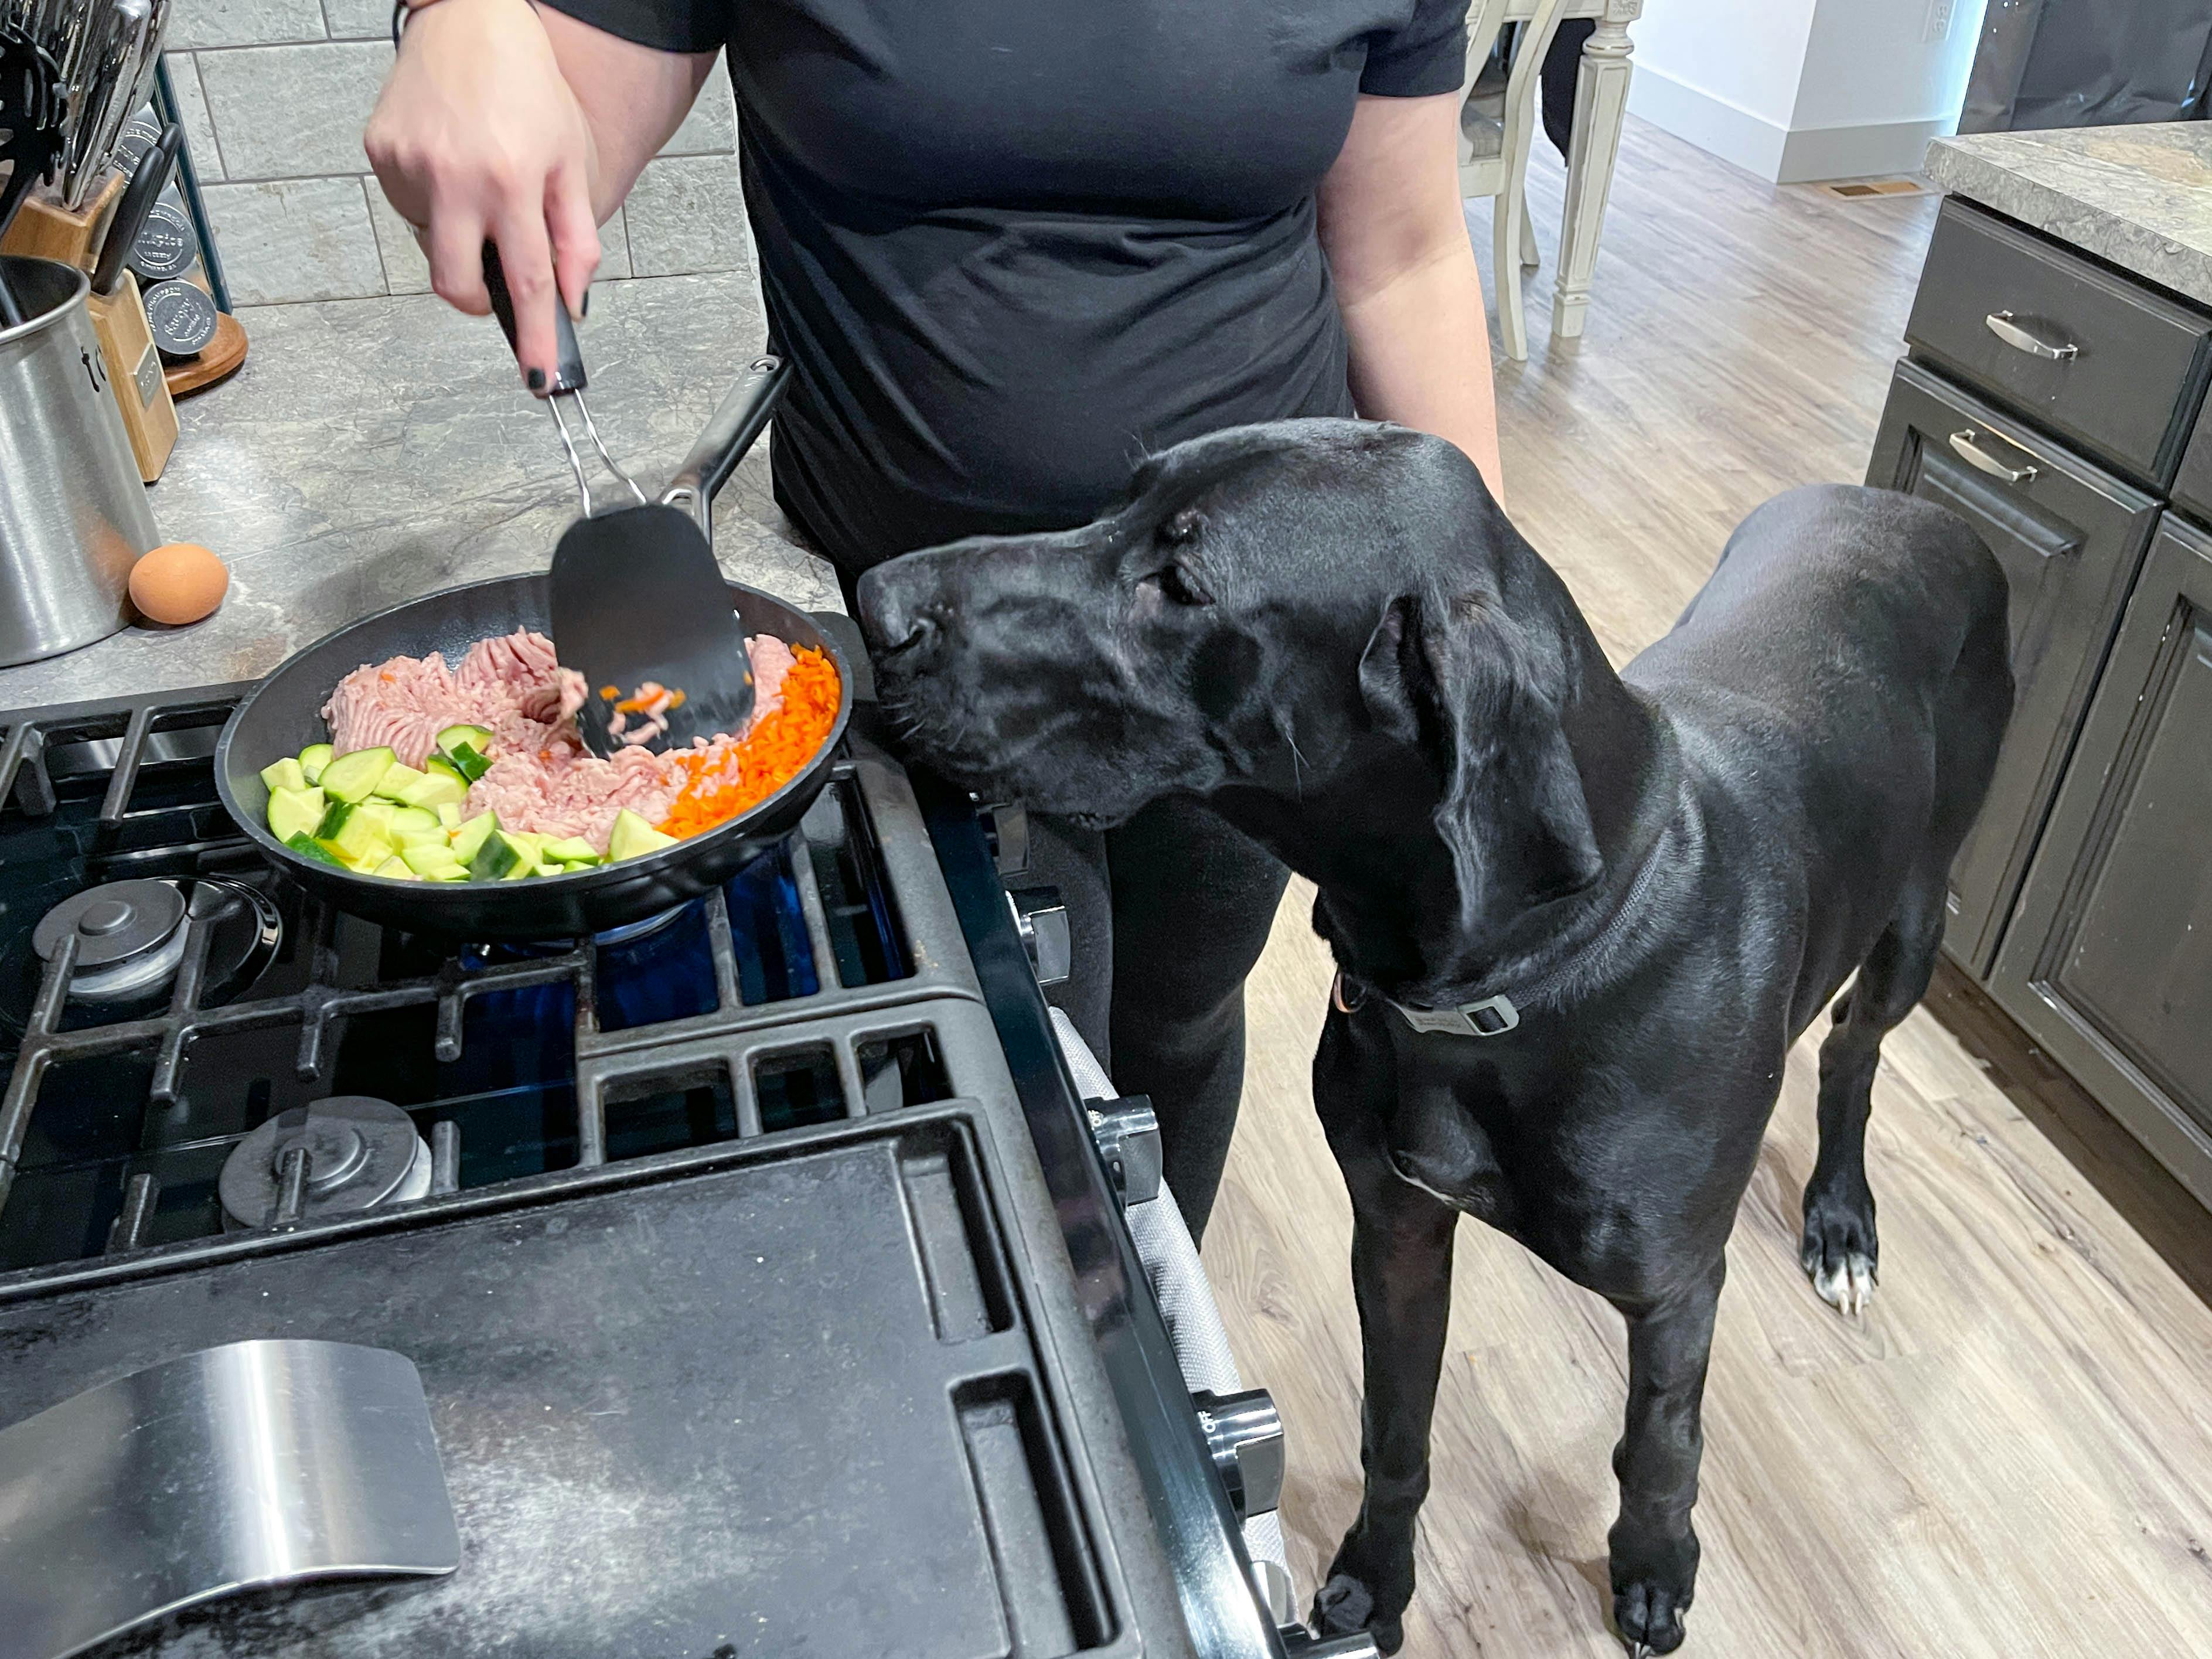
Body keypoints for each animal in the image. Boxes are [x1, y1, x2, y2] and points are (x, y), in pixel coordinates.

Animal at [854, 422, 2017, 1654]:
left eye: (1180, 585)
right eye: (1120, 499)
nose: (870, 601)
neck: (1539, 967)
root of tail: (1920, 511)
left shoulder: (1676, 1288)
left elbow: (1661, 1448)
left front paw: (1655, 1567)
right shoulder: (1398, 1227)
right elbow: (1397, 1431)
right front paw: (1376, 1576)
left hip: (1919, 915)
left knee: (1853, 1046)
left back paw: (1840, 1220)